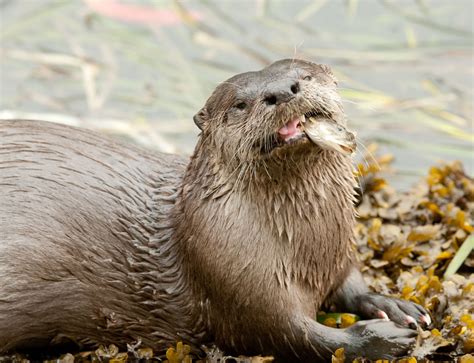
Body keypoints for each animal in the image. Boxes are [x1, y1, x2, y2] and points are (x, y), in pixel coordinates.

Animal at [0, 59, 430, 362]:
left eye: (303, 76)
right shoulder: (239, 285)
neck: (308, 248)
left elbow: (351, 285)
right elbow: (299, 337)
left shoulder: (339, 252)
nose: (282, 91)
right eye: (240, 104)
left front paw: (392, 306)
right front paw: (381, 337)